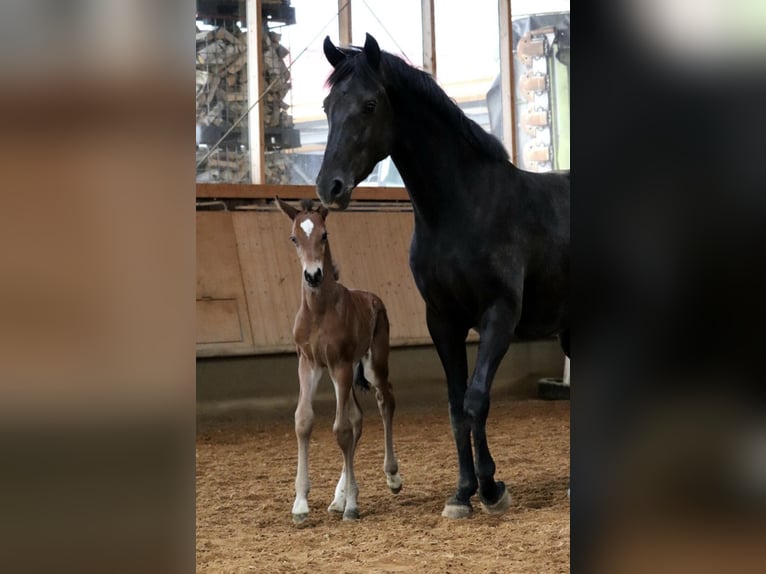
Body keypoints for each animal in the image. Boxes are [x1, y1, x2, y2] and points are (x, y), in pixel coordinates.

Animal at [275, 196, 402, 524]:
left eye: (324, 235)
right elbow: (304, 421)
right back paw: (338, 497)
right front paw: (301, 504)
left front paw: (352, 506)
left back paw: (392, 476)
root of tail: (372, 297)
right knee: (358, 418)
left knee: (385, 401)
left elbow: (341, 430)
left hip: (372, 364)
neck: (319, 311)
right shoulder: (308, 364)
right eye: (294, 238)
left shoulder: (341, 364)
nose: (313, 275)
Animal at [316, 34, 569, 519]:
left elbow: (476, 399)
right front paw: (463, 492)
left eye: (370, 104)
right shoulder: (442, 321)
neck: (463, 209)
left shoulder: (499, 315)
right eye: (327, 106)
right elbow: (455, 406)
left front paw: (491, 489)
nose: (328, 186)